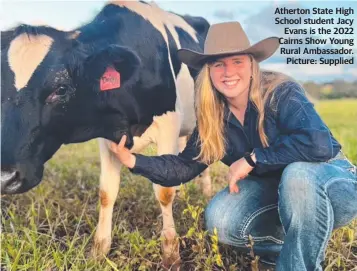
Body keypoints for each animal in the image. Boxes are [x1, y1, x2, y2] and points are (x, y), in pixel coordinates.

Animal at [1, 0, 210, 270]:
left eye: (61, 88)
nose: (5, 178)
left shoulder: (169, 125)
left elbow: (163, 193)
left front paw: (171, 255)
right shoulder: (109, 137)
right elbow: (107, 192)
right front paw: (99, 252)